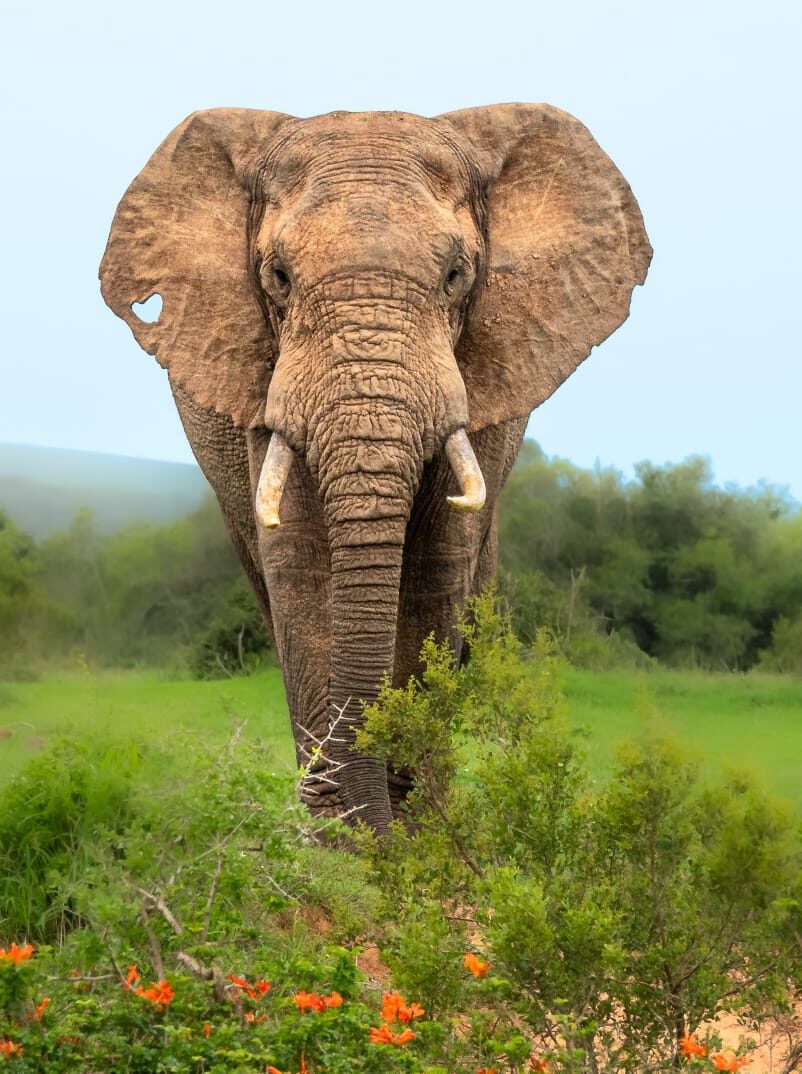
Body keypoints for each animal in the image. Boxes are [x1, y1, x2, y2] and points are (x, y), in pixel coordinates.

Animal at [100, 104, 651, 834]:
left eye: (456, 277)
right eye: (277, 277)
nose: (364, 813)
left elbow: (436, 567)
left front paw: (412, 825)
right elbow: (300, 564)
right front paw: (342, 834)